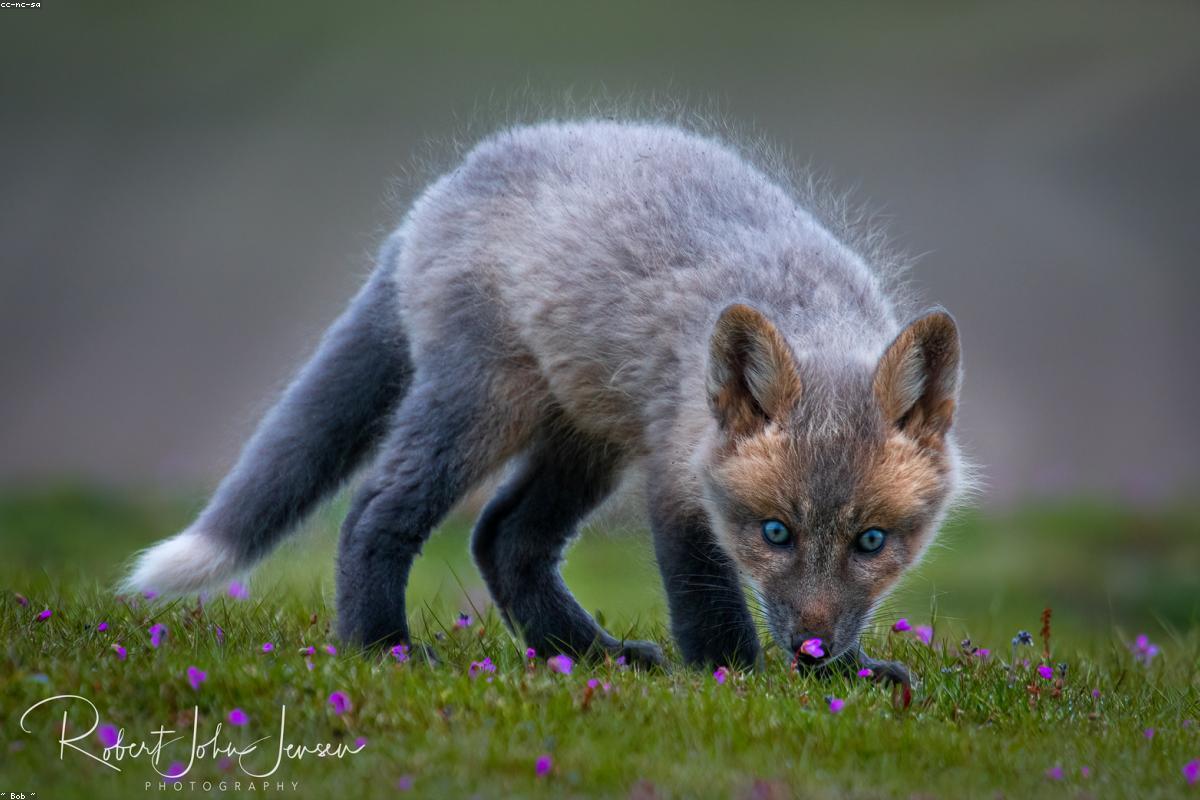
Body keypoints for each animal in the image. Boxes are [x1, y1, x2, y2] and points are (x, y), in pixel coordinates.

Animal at [123, 120, 965, 682]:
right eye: (775, 533)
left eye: (872, 542)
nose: (813, 652)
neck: (807, 306)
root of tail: (445, 191)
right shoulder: (676, 473)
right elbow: (708, 596)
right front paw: (735, 678)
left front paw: (847, 677)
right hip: (480, 408)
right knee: (374, 508)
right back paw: (384, 647)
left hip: (583, 440)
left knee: (505, 537)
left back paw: (587, 654)